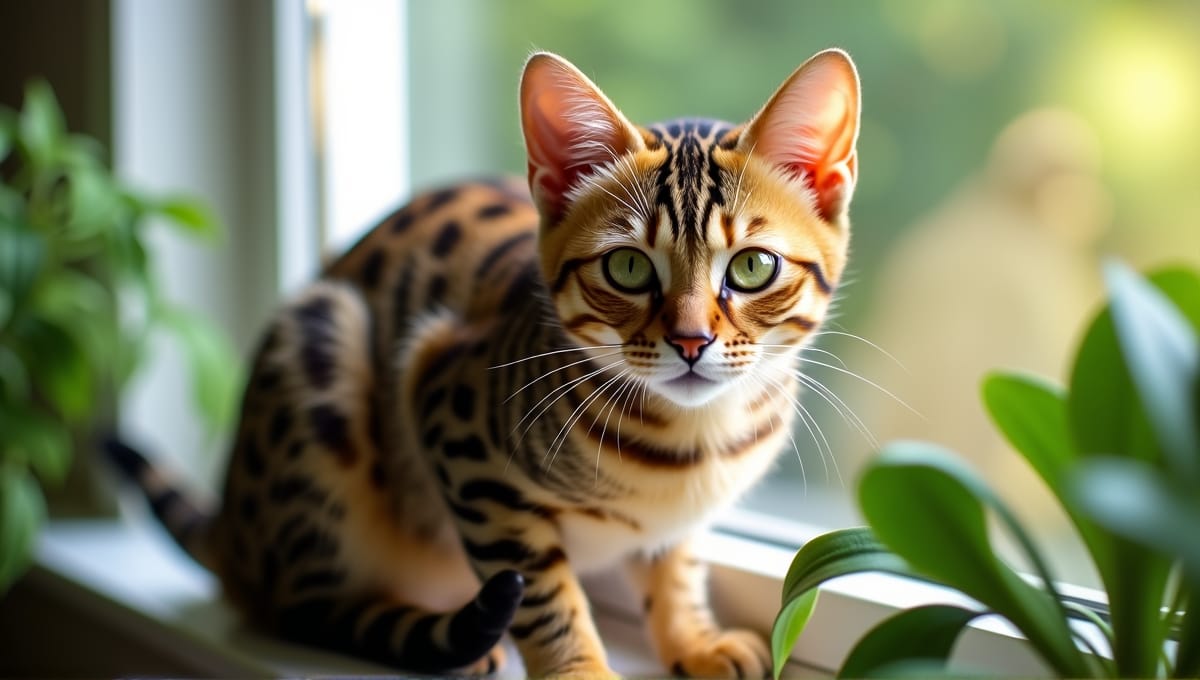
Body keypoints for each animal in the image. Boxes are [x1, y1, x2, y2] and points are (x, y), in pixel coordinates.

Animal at [108, 50, 864, 676]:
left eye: (753, 266)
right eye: (626, 267)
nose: (690, 341)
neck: (691, 445)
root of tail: (232, 528)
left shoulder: (678, 522)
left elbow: (675, 568)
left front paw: (694, 641)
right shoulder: (456, 430)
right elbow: (544, 598)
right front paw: (581, 671)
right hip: (321, 346)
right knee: (304, 605)